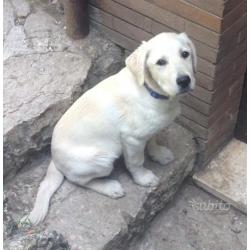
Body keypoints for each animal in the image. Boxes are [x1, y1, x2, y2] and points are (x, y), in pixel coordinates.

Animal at [26, 31, 196, 225]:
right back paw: (109, 187)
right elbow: (136, 161)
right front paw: (143, 178)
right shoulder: (132, 139)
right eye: (161, 62)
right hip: (102, 159)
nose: (184, 80)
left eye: (185, 54)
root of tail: (54, 159)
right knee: (77, 180)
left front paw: (158, 153)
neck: (150, 91)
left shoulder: (150, 129)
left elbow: (153, 139)